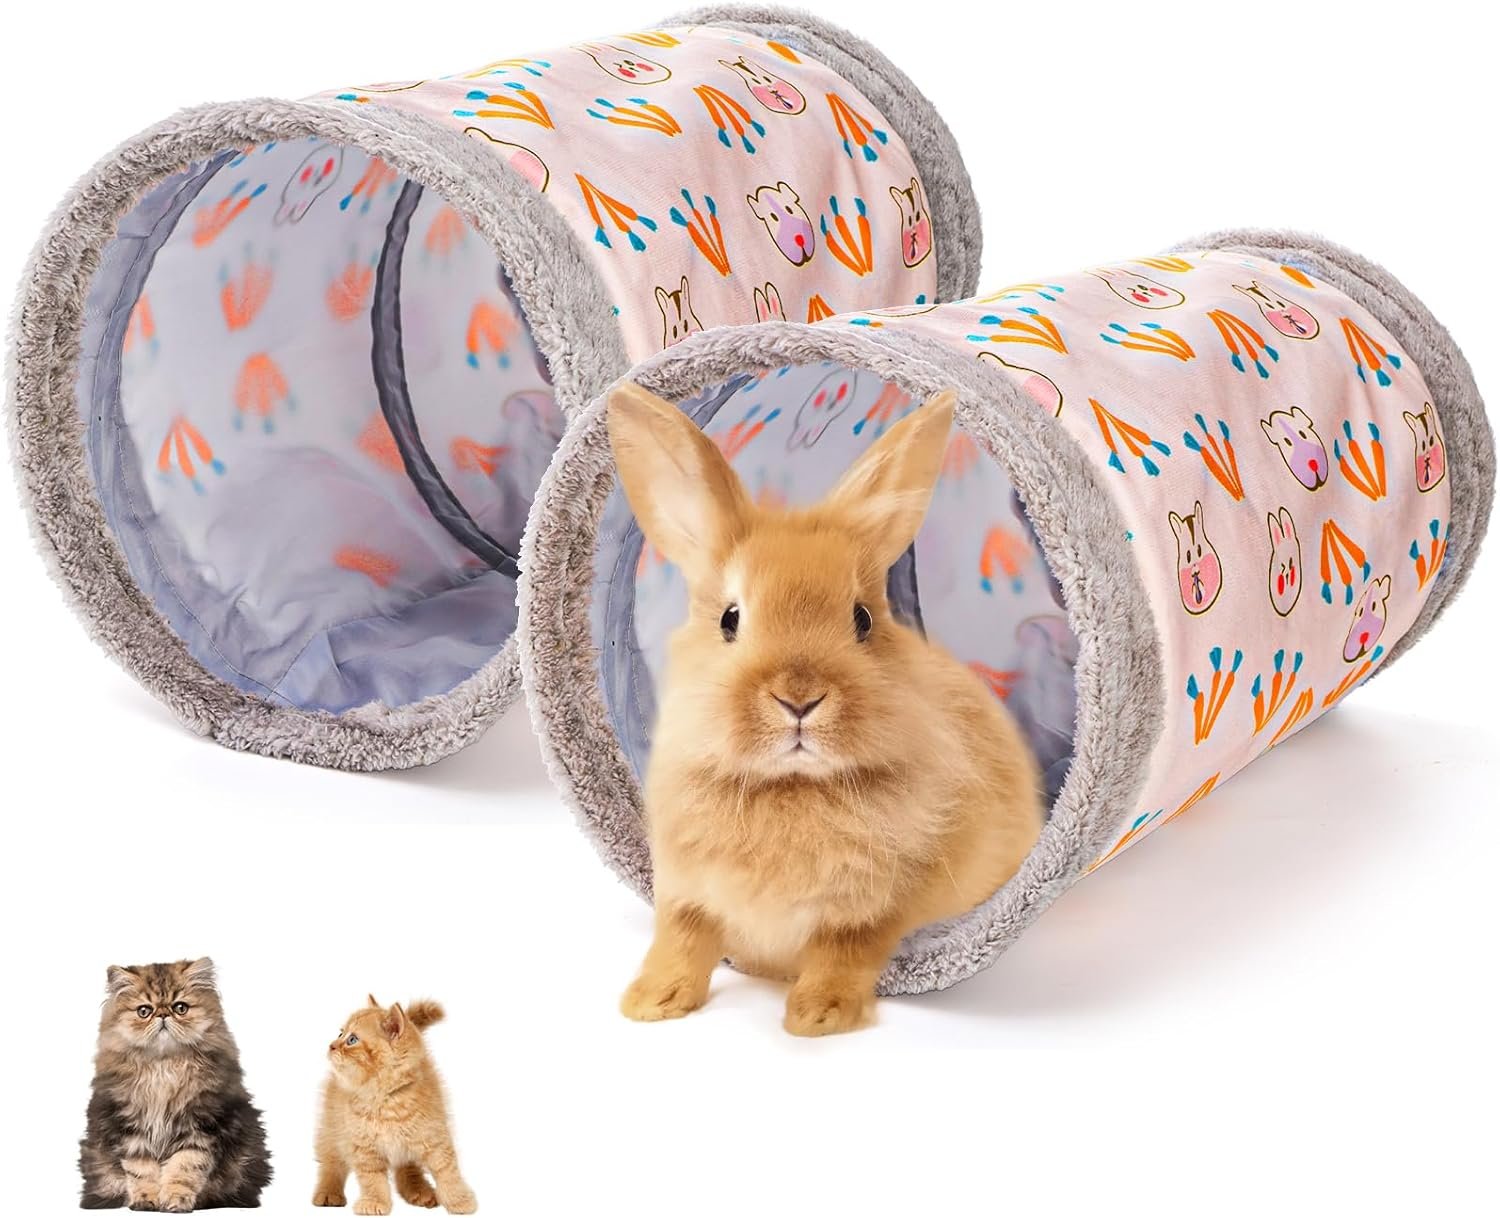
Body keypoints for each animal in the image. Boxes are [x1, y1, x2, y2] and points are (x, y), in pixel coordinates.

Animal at [606, 381, 1044, 1037]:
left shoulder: (873, 910)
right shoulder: (686, 892)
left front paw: (817, 1016)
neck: (790, 786)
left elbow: (845, 949)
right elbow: (681, 939)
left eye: (862, 620)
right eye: (729, 620)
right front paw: (650, 1003)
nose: (799, 697)